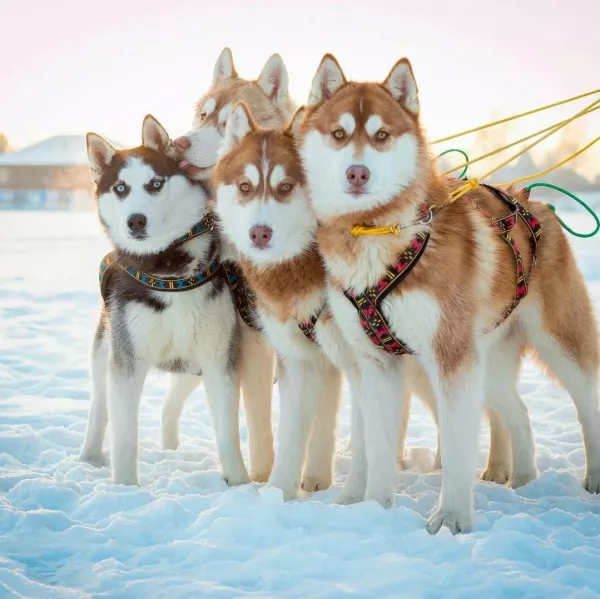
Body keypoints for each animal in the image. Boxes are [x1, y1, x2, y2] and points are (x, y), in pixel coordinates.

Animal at [80, 116, 255, 488]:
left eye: (155, 183)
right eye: (120, 188)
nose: (135, 220)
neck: (169, 273)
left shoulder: (219, 359)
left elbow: (227, 433)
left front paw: (240, 484)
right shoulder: (127, 363)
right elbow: (124, 434)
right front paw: (126, 488)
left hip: (191, 365)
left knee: (168, 406)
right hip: (106, 350)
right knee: (100, 406)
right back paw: (89, 456)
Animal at [296, 55, 600, 536]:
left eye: (381, 135)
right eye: (339, 134)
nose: (357, 172)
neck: (379, 235)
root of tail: (534, 201)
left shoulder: (451, 358)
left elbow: (456, 448)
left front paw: (452, 517)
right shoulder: (375, 365)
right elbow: (377, 445)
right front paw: (375, 508)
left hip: (558, 344)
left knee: (588, 407)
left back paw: (593, 478)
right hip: (487, 362)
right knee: (518, 412)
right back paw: (525, 480)